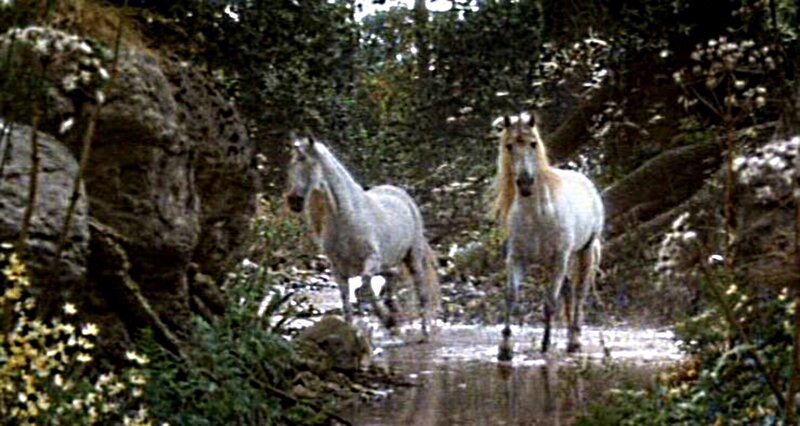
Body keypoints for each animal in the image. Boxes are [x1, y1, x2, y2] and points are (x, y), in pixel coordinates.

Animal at [284, 136, 439, 338]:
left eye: (303, 160)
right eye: (292, 163)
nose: (292, 201)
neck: (346, 217)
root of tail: (401, 195)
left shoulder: (371, 259)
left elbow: (365, 286)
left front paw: (387, 319)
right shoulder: (338, 269)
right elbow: (346, 304)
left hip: (412, 258)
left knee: (421, 292)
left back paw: (424, 332)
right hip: (388, 262)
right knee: (393, 275)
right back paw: (394, 313)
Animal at [491, 113, 604, 360]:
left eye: (533, 143)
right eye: (509, 146)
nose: (525, 183)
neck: (538, 214)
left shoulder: (559, 258)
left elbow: (550, 301)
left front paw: (545, 344)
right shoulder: (517, 259)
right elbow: (511, 296)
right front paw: (505, 347)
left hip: (584, 252)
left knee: (579, 293)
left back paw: (574, 341)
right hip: (552, 262)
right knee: (569, 290)